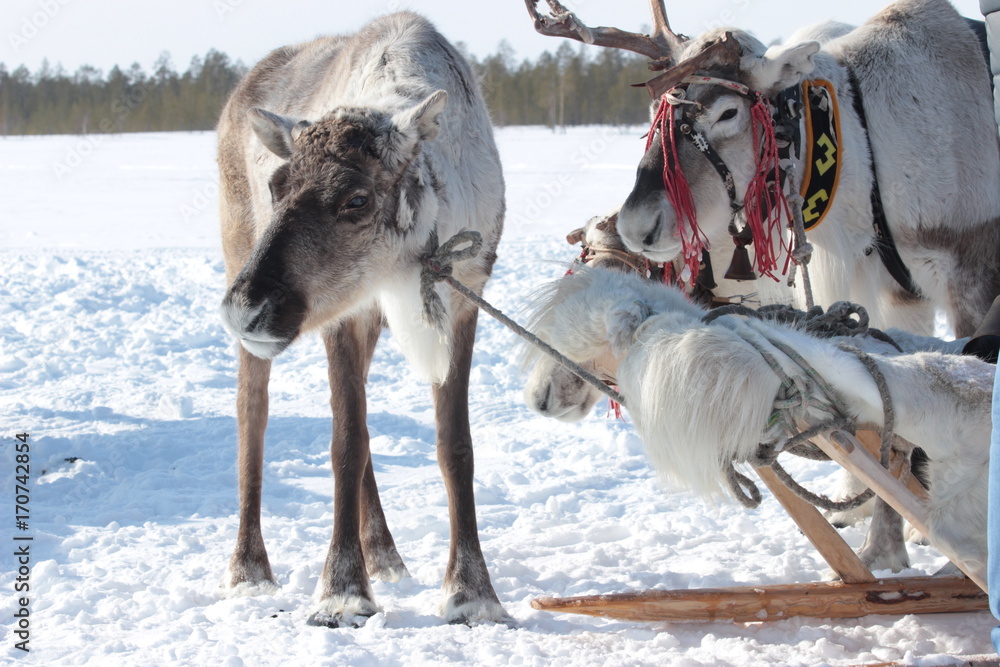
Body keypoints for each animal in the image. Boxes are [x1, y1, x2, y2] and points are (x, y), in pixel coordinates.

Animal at [216, 12, 508, 627]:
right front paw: (342, 593)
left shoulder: (465, 295)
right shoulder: (340, 317)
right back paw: (250, 569)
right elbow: (345, 443)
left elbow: (455, 445)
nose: (244, 308)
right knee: (252, 412)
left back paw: (384, 553)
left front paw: (473, 593)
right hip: (240, 255)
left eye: (356, 199)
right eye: (276, 186)